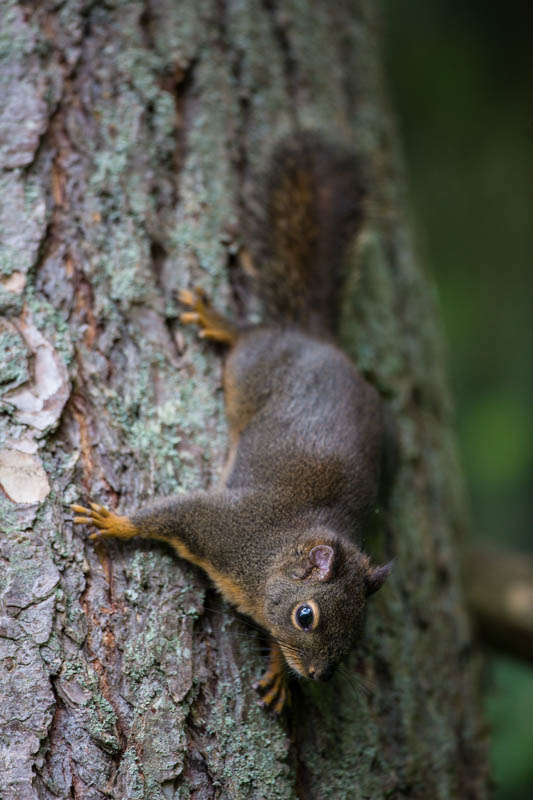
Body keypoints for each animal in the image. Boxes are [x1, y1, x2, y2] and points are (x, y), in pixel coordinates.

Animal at [72, 134, 392, 716]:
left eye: (357, 633)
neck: (270, 558)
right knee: (248, 335)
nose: (318, 675)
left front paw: (280, 674)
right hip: (254, 362)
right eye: (306, 615)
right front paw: (115, 521)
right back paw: (218, 321)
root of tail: (315, 339)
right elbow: (171, 511)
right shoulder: (224, 527)